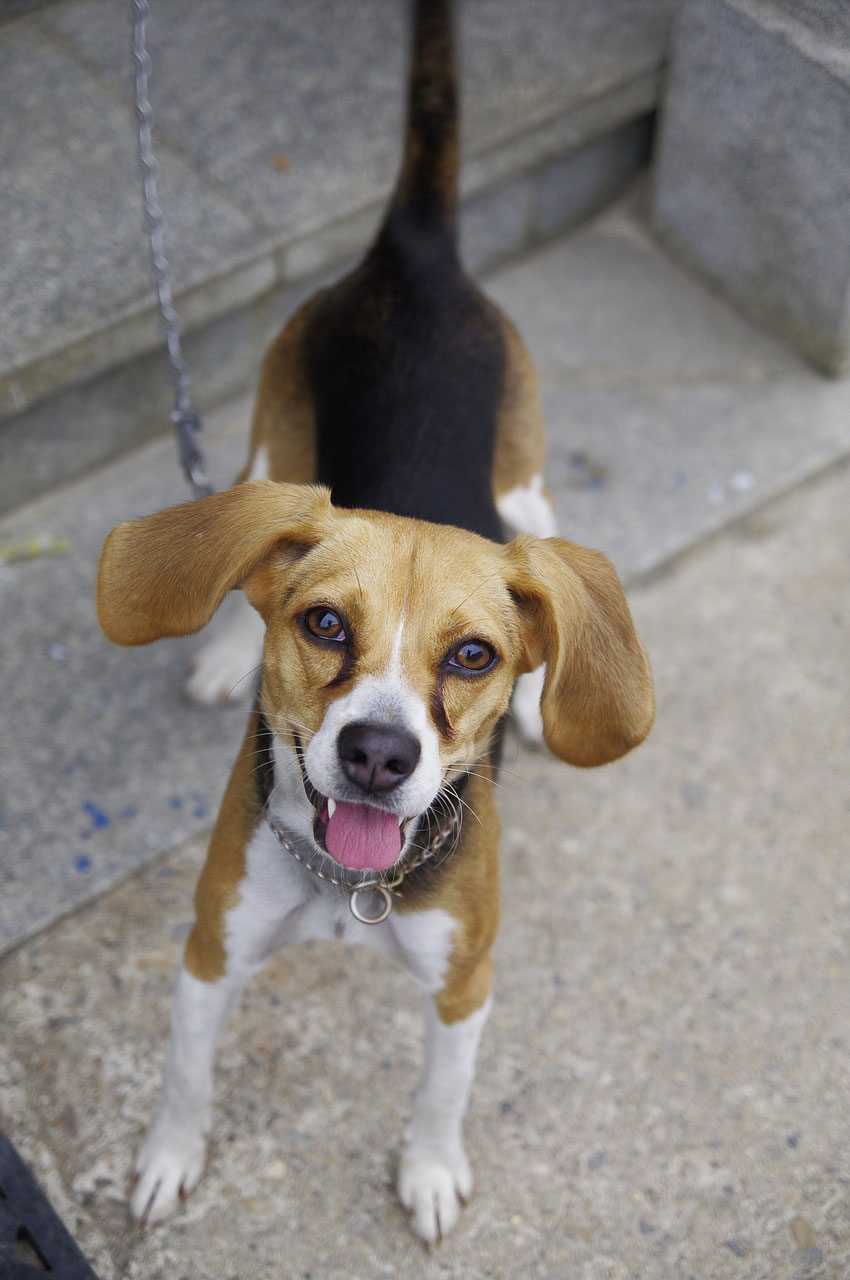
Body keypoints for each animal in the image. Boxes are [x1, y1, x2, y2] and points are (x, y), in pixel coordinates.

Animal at [96, 0, 652, 1239]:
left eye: (474, 653)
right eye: (322, 627)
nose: (378, 753)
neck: (349, 885)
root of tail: (416, 259)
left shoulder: (465, 977)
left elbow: (441, 1093)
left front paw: (430, 1171)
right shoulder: (209, 946)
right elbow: (183, 1073)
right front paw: (166, 1158)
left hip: (529, 496)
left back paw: (543, 707)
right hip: (273, 448)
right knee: (237, 537)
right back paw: (217, 653)